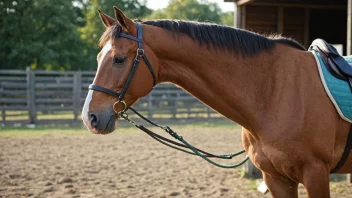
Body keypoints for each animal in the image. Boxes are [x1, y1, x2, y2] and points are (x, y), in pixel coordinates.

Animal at [80, 6, 352, 198]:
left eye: (118, 59)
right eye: (99, 57)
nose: (89, 117)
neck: (274, 90)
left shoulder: (315, 174)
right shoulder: (277, 179)